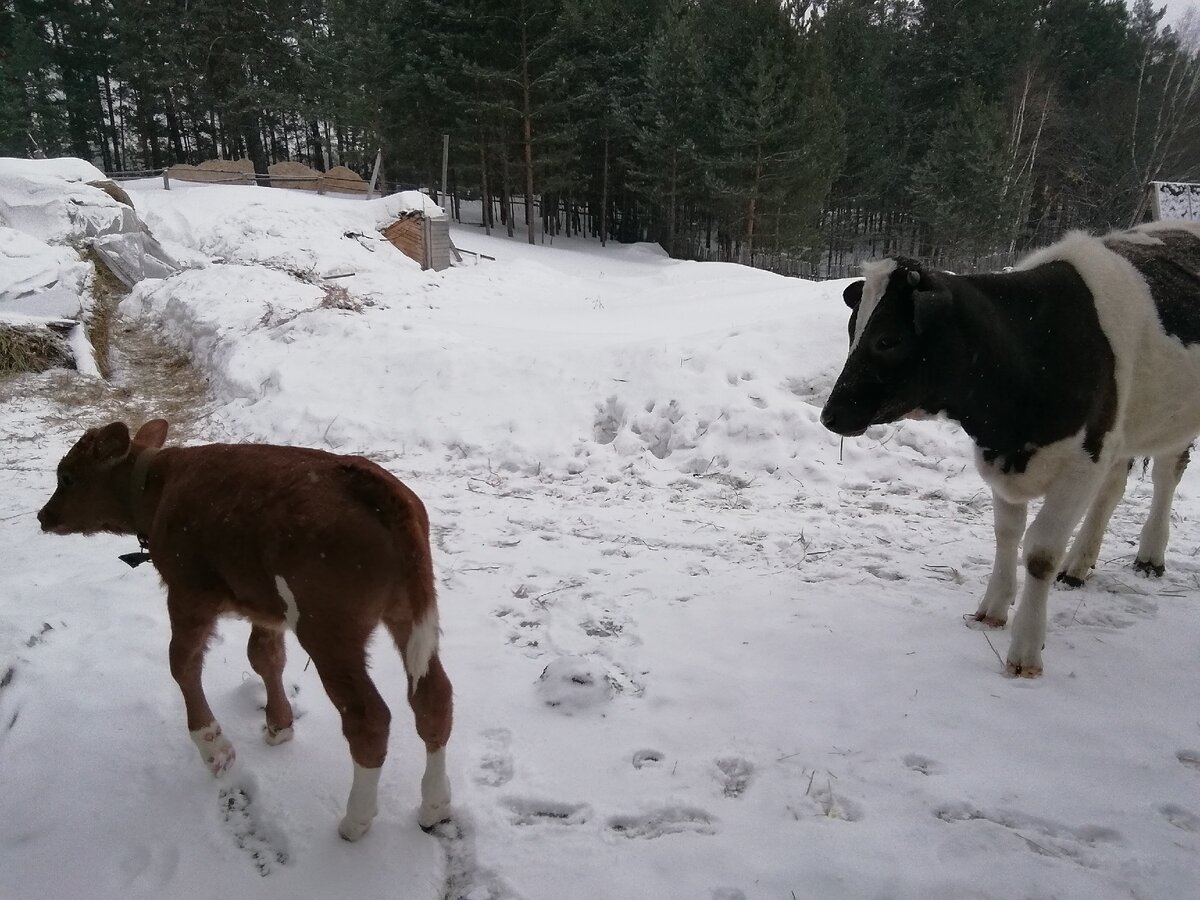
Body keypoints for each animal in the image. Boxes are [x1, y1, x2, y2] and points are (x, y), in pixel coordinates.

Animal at [37, 420, 451, 844]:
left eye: (66, 477)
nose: (43, 515)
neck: (156, 487)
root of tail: (374, 486)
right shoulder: (265, 608)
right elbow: (264, 657)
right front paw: (279, 726)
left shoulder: (188, 592)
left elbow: (182, 663)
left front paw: (214, 747)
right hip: (406, 611)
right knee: (433, 697)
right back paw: (434, 807)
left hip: (329, 628)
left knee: (369, 718)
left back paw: (356, 821)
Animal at [820, 222, 1200, 681]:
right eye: (852, 330)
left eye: (887, 340)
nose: (830, 414)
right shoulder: (1004, 453)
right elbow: (1006, 533)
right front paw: (993, 609)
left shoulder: (1082, 461)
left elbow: (1040, 553)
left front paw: (1025, 651)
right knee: (1113, 488)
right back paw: (1079, 564)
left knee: (1166, 474)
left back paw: (1149, 556)